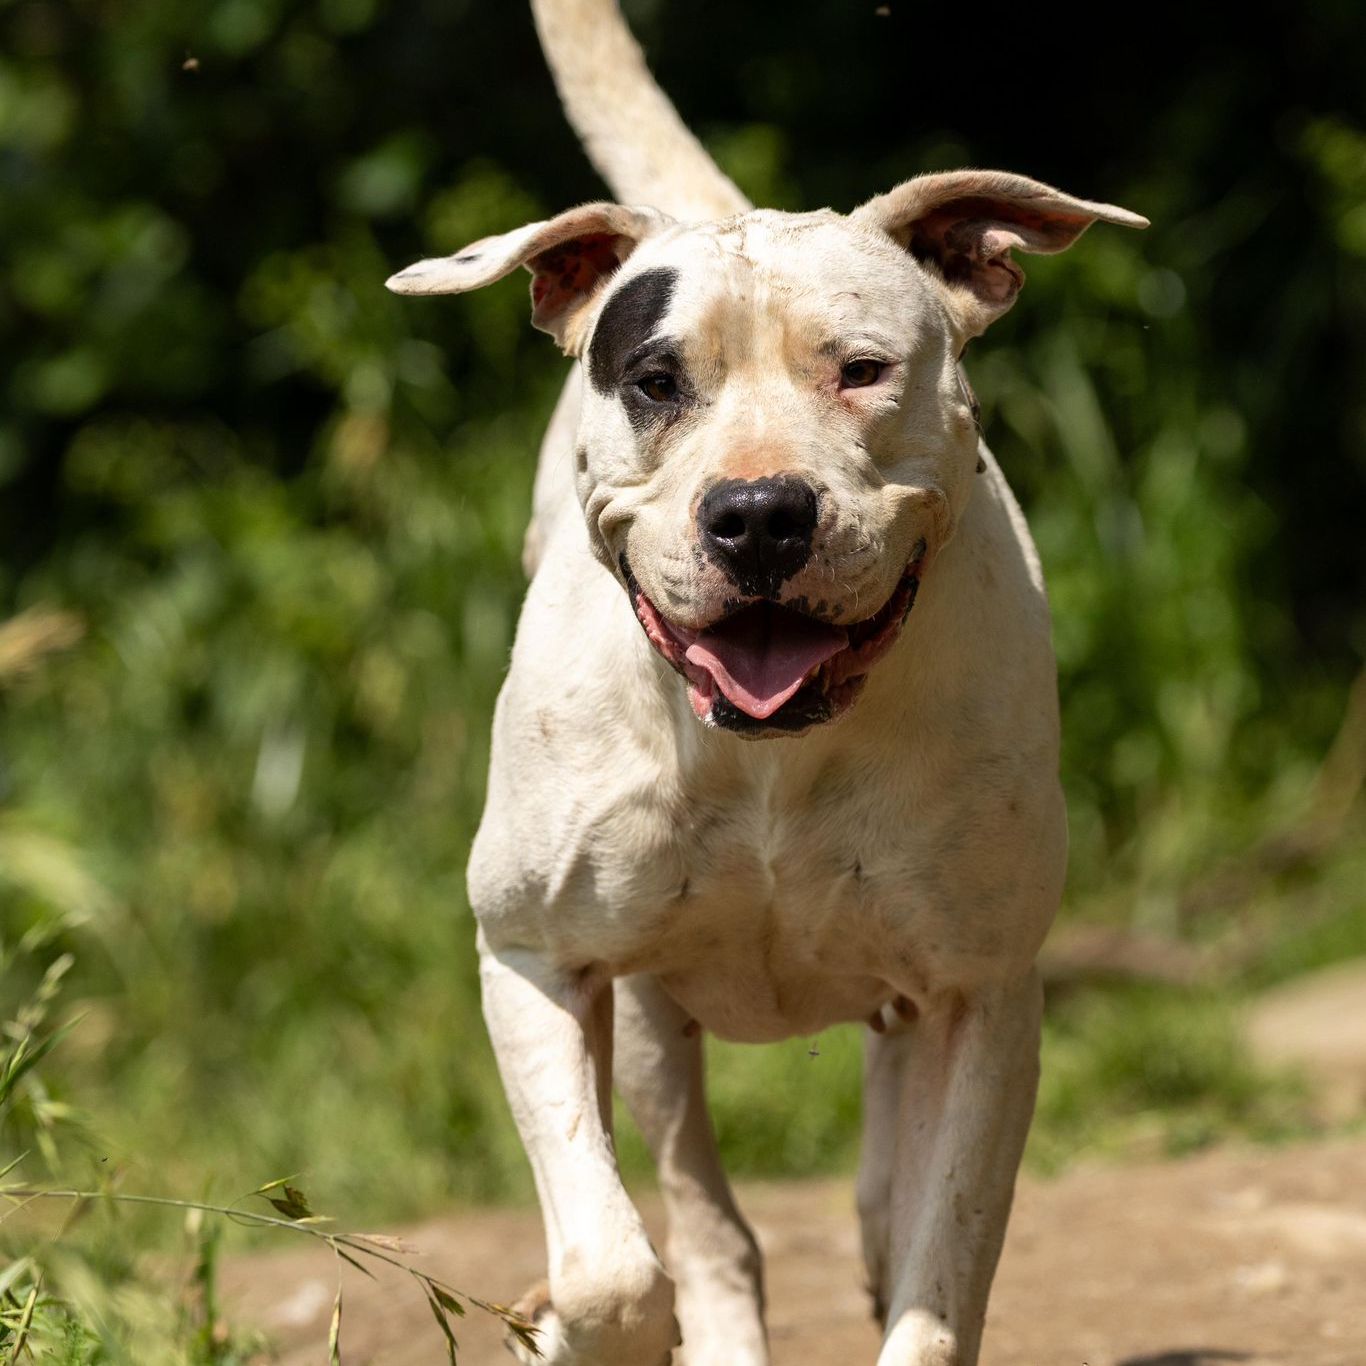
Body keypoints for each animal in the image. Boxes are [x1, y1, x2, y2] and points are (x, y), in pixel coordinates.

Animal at [387, 2, 1145, 1361]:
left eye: (862, 368)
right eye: (654, 380)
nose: (756, 514)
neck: (773, 753)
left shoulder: (985, 996)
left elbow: (940, 1267)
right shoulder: (531, 957)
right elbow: (609, 1263)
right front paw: (576, 1324)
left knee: (881, 1189)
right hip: (647, 1017)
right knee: (701, 1215)